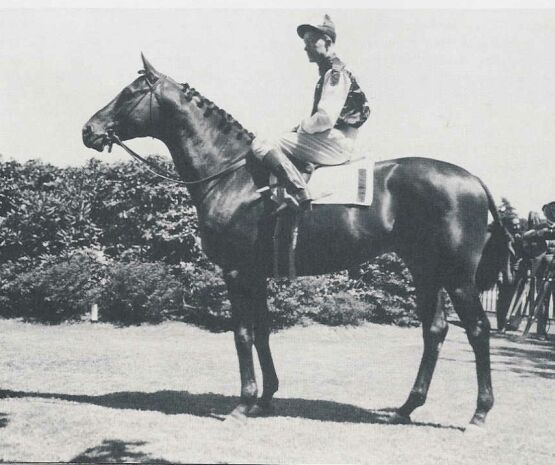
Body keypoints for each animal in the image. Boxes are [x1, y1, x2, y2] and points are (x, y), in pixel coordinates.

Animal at [81, 54, 512, 428]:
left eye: (129, 92)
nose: (89, 129)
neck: (234, 175)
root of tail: (473, 180)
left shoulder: (236, 272)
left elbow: (242, 334)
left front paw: (244, 403)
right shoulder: (256, 275)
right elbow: (262, 331)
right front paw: (265, 397)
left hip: (458, 276)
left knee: (477, 330)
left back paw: (479, 413)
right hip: (425, 270)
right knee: (435, 329)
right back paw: (407, 407)